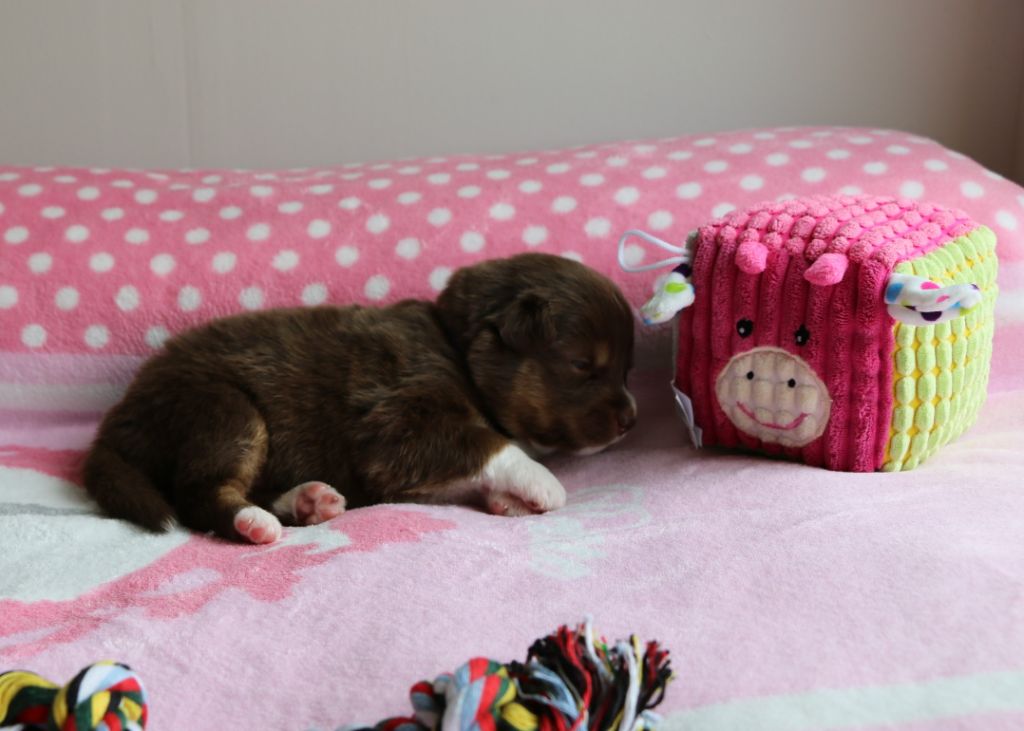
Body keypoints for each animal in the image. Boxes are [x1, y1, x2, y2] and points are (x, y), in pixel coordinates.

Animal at [82, 253, 637, 544]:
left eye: (627, 367)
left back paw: (308, 501)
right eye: (583, 366)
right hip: (225, 411)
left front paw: (507, 500)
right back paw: (256, 524)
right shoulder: (399, 425)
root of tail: (114, 424)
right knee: (201, 491)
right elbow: (489, 445)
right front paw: (541, 482)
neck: (456, 349)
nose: (631, 420)